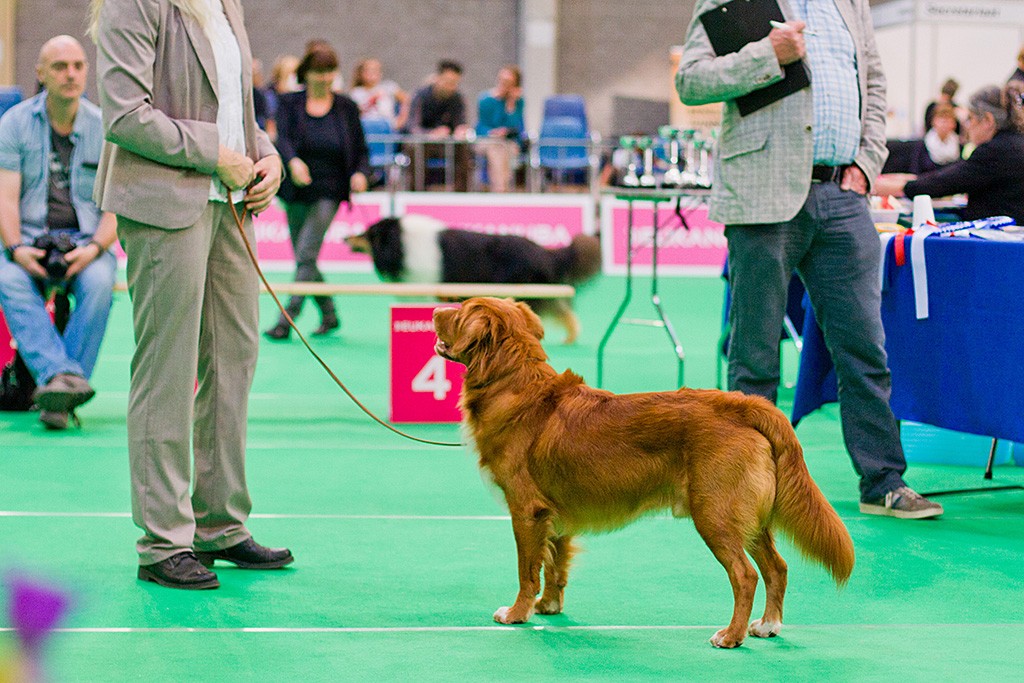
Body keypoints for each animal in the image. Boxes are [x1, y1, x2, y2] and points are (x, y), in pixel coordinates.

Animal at [346, 216, 598, 344]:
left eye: (368, 234)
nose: (345, 237)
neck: (402, 245)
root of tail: (545, 252)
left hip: (532, 291)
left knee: (560, 311)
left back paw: (569, 338)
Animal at [432, 296, 856, 647]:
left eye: (461, 309)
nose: (434, 311)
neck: (513, 382)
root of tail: (741, 405)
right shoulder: (554, 511)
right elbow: (555, 562)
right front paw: (548, 605)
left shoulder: (526, 510)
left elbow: (527, 569)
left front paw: (518, 612)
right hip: (748, 517)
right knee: (777, 568)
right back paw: (768, 625)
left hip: (714, 514)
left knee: (745, 575)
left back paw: (730, 636)